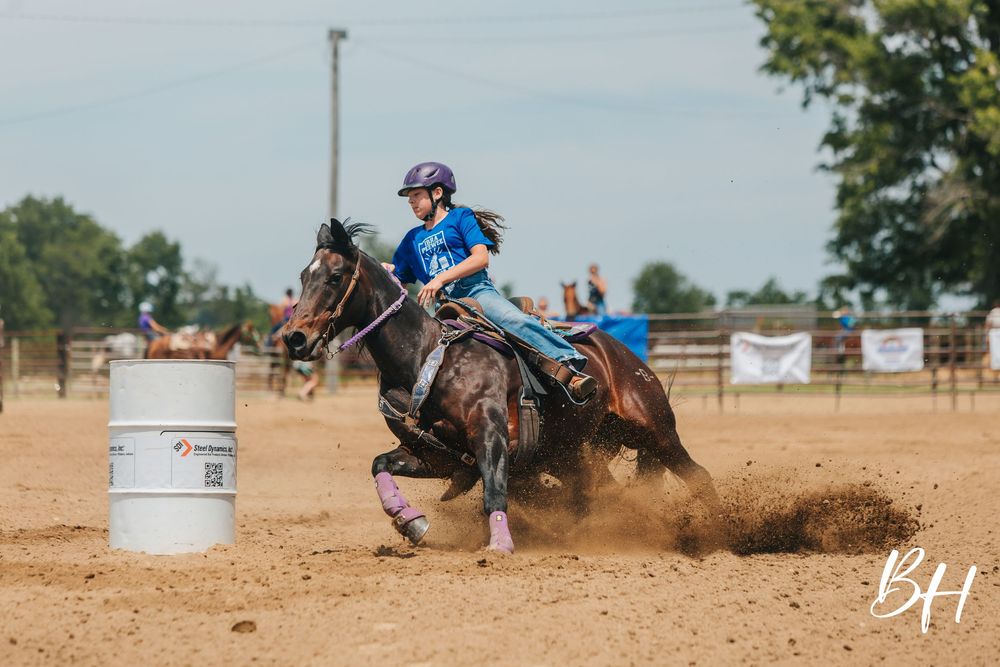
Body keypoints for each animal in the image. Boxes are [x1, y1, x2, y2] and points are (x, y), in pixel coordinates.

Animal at [283, 220, 720, 553]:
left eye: (335, 276)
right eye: (304, 276)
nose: (294, 338)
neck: (426, 358)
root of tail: (624, 356)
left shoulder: (491, 437)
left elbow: (494, 492)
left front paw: (499, 546)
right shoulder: (436, 455)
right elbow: (380, 465)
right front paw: (411, 522)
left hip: (654, 428)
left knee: (698, 475)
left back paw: (719, 532)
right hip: (569, 455)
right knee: (598, 494)